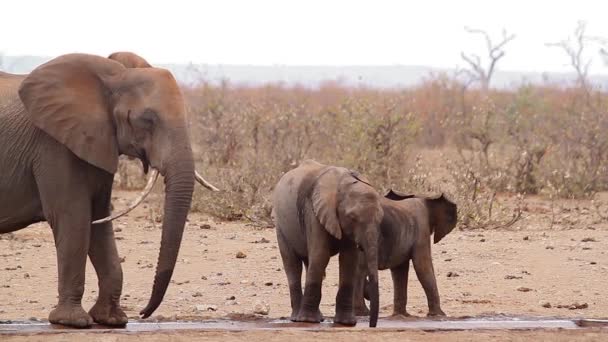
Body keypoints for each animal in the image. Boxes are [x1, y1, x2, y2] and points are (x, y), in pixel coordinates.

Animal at [0, 54, 217, 328]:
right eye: (148, 120)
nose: (143, 313)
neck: (115, 76)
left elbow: (99, 221)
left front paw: (112, 320)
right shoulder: (54, 147)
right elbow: (74, 218)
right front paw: (71, 322)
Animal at [354, 188, 458, 316]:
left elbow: (400, 270)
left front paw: (401, 316)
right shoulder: (422, 229)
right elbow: (422, 266)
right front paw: (439, 315)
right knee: (360, 269)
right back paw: (363, 313)